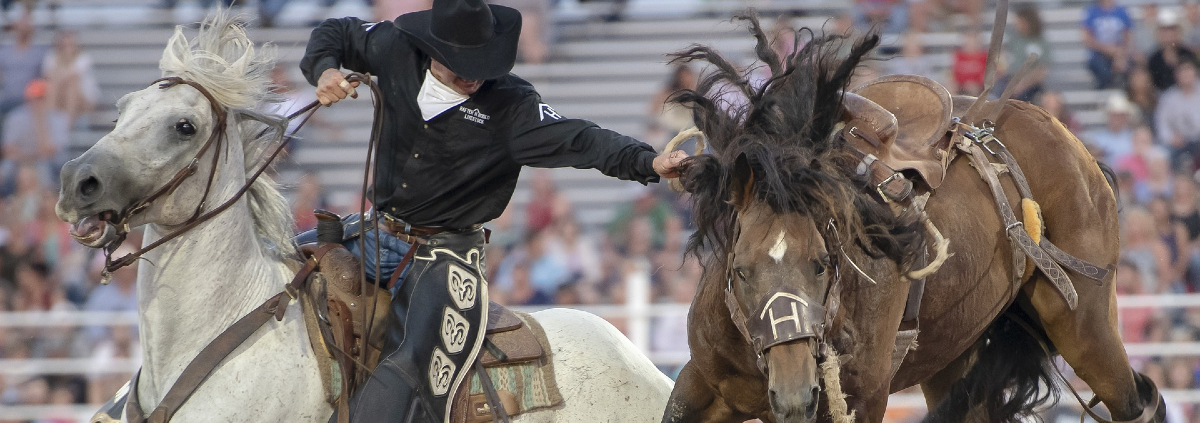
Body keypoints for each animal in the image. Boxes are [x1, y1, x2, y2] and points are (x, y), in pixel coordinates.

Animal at [662, 15, 1166, 423]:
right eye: (741, 270)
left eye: (822, 264)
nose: (792, 396)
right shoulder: (699, 386)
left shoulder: (863, 401)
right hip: (955, 355)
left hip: (1085, 327)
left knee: (1140, 401)